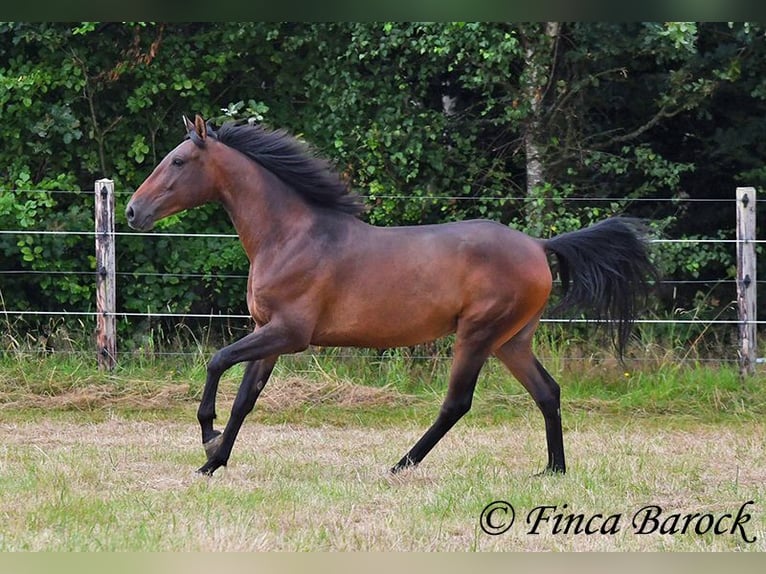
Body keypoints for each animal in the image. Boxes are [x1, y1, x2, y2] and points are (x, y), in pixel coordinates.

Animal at [126, 115, 660, 480]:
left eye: (178, 161)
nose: (132, 211)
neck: (291, 235)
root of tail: (538, 244)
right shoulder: (269, 333)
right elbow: (245, 401)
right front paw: (212, 463)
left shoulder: (288, 333)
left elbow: (217, 362)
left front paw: (208, 437)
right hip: (512, 341)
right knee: (548, 392)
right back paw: (553, 470)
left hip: (478, 334)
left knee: (457, 403)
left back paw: (401, 464)